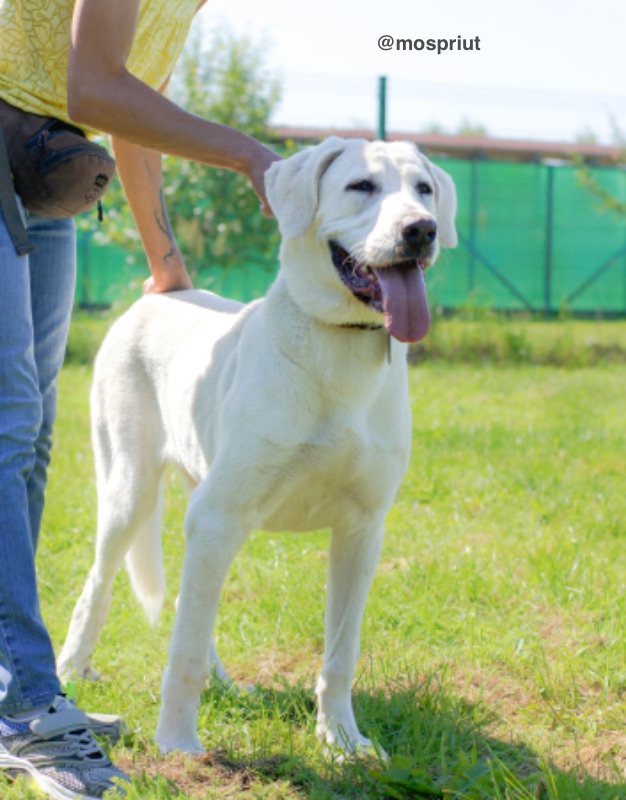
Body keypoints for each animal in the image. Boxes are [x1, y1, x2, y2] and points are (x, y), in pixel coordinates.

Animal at [58, 138, 456, 756]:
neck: (338, 348)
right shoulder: (218, 516)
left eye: (424, 189)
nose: (422, 230)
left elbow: (340, 653)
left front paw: (343, 741)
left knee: (189, 608)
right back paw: (69, 675)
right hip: (129, 492)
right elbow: (182, 652)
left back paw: (224, 686)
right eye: (361, 186)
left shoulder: (362, 531)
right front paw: (177, 744)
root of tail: (160, 296)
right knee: (101, 588)